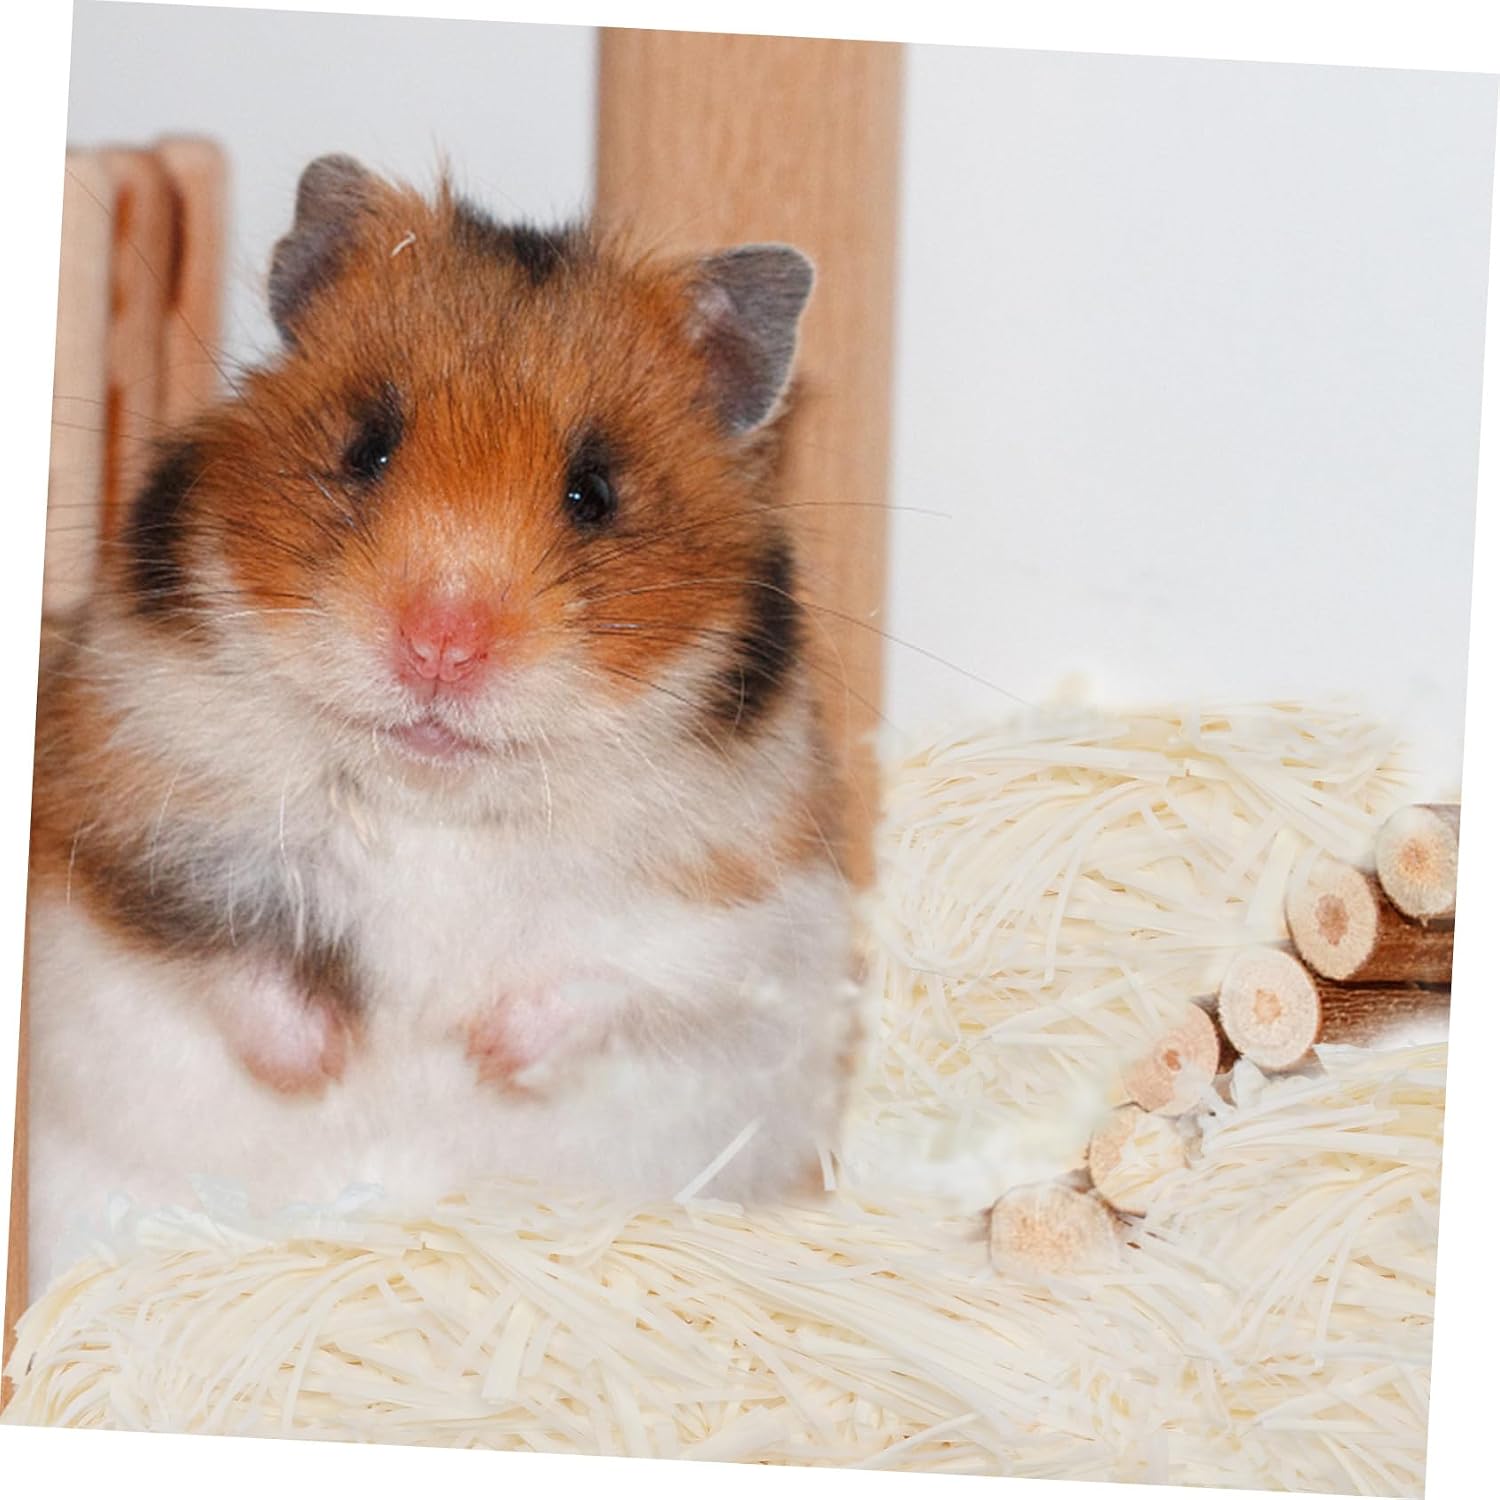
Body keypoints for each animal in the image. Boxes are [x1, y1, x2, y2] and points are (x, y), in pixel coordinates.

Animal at [24, 155, 859, 1295]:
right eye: (367, 449)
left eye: (594, 492)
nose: (439, 647)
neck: (439, 799)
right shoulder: (126, 812)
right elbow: (228, 957)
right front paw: (333, 1061)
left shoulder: (749, 910)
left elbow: (620, 975)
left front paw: (477, 1050)